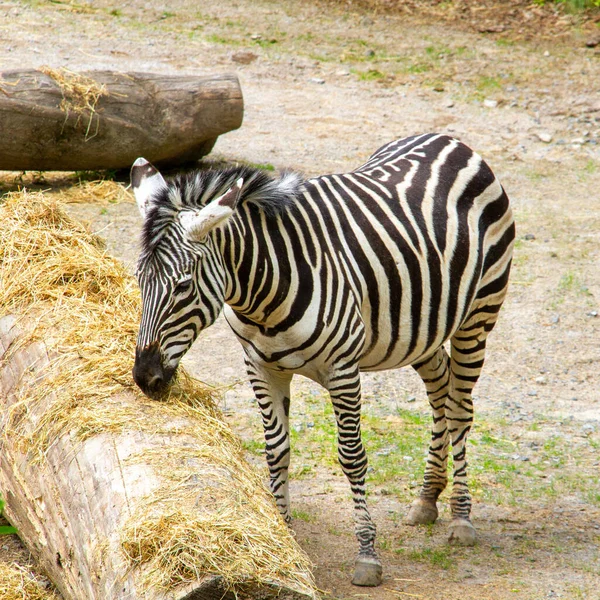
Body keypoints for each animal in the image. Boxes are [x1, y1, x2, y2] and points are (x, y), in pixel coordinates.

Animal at [131, 135, 516, 584]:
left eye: (182, 286)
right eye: (140, 281)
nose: (144, 377)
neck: (263, 293)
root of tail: (450, 140)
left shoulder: (342, 369)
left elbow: (352, 457)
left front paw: (367, 555)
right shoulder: (260, 366)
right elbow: (276, 450)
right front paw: (284, 533)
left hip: (478, 315)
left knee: (458, 408)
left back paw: (461, 517)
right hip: (421, 326)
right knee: (439, 390)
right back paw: (426, 498)